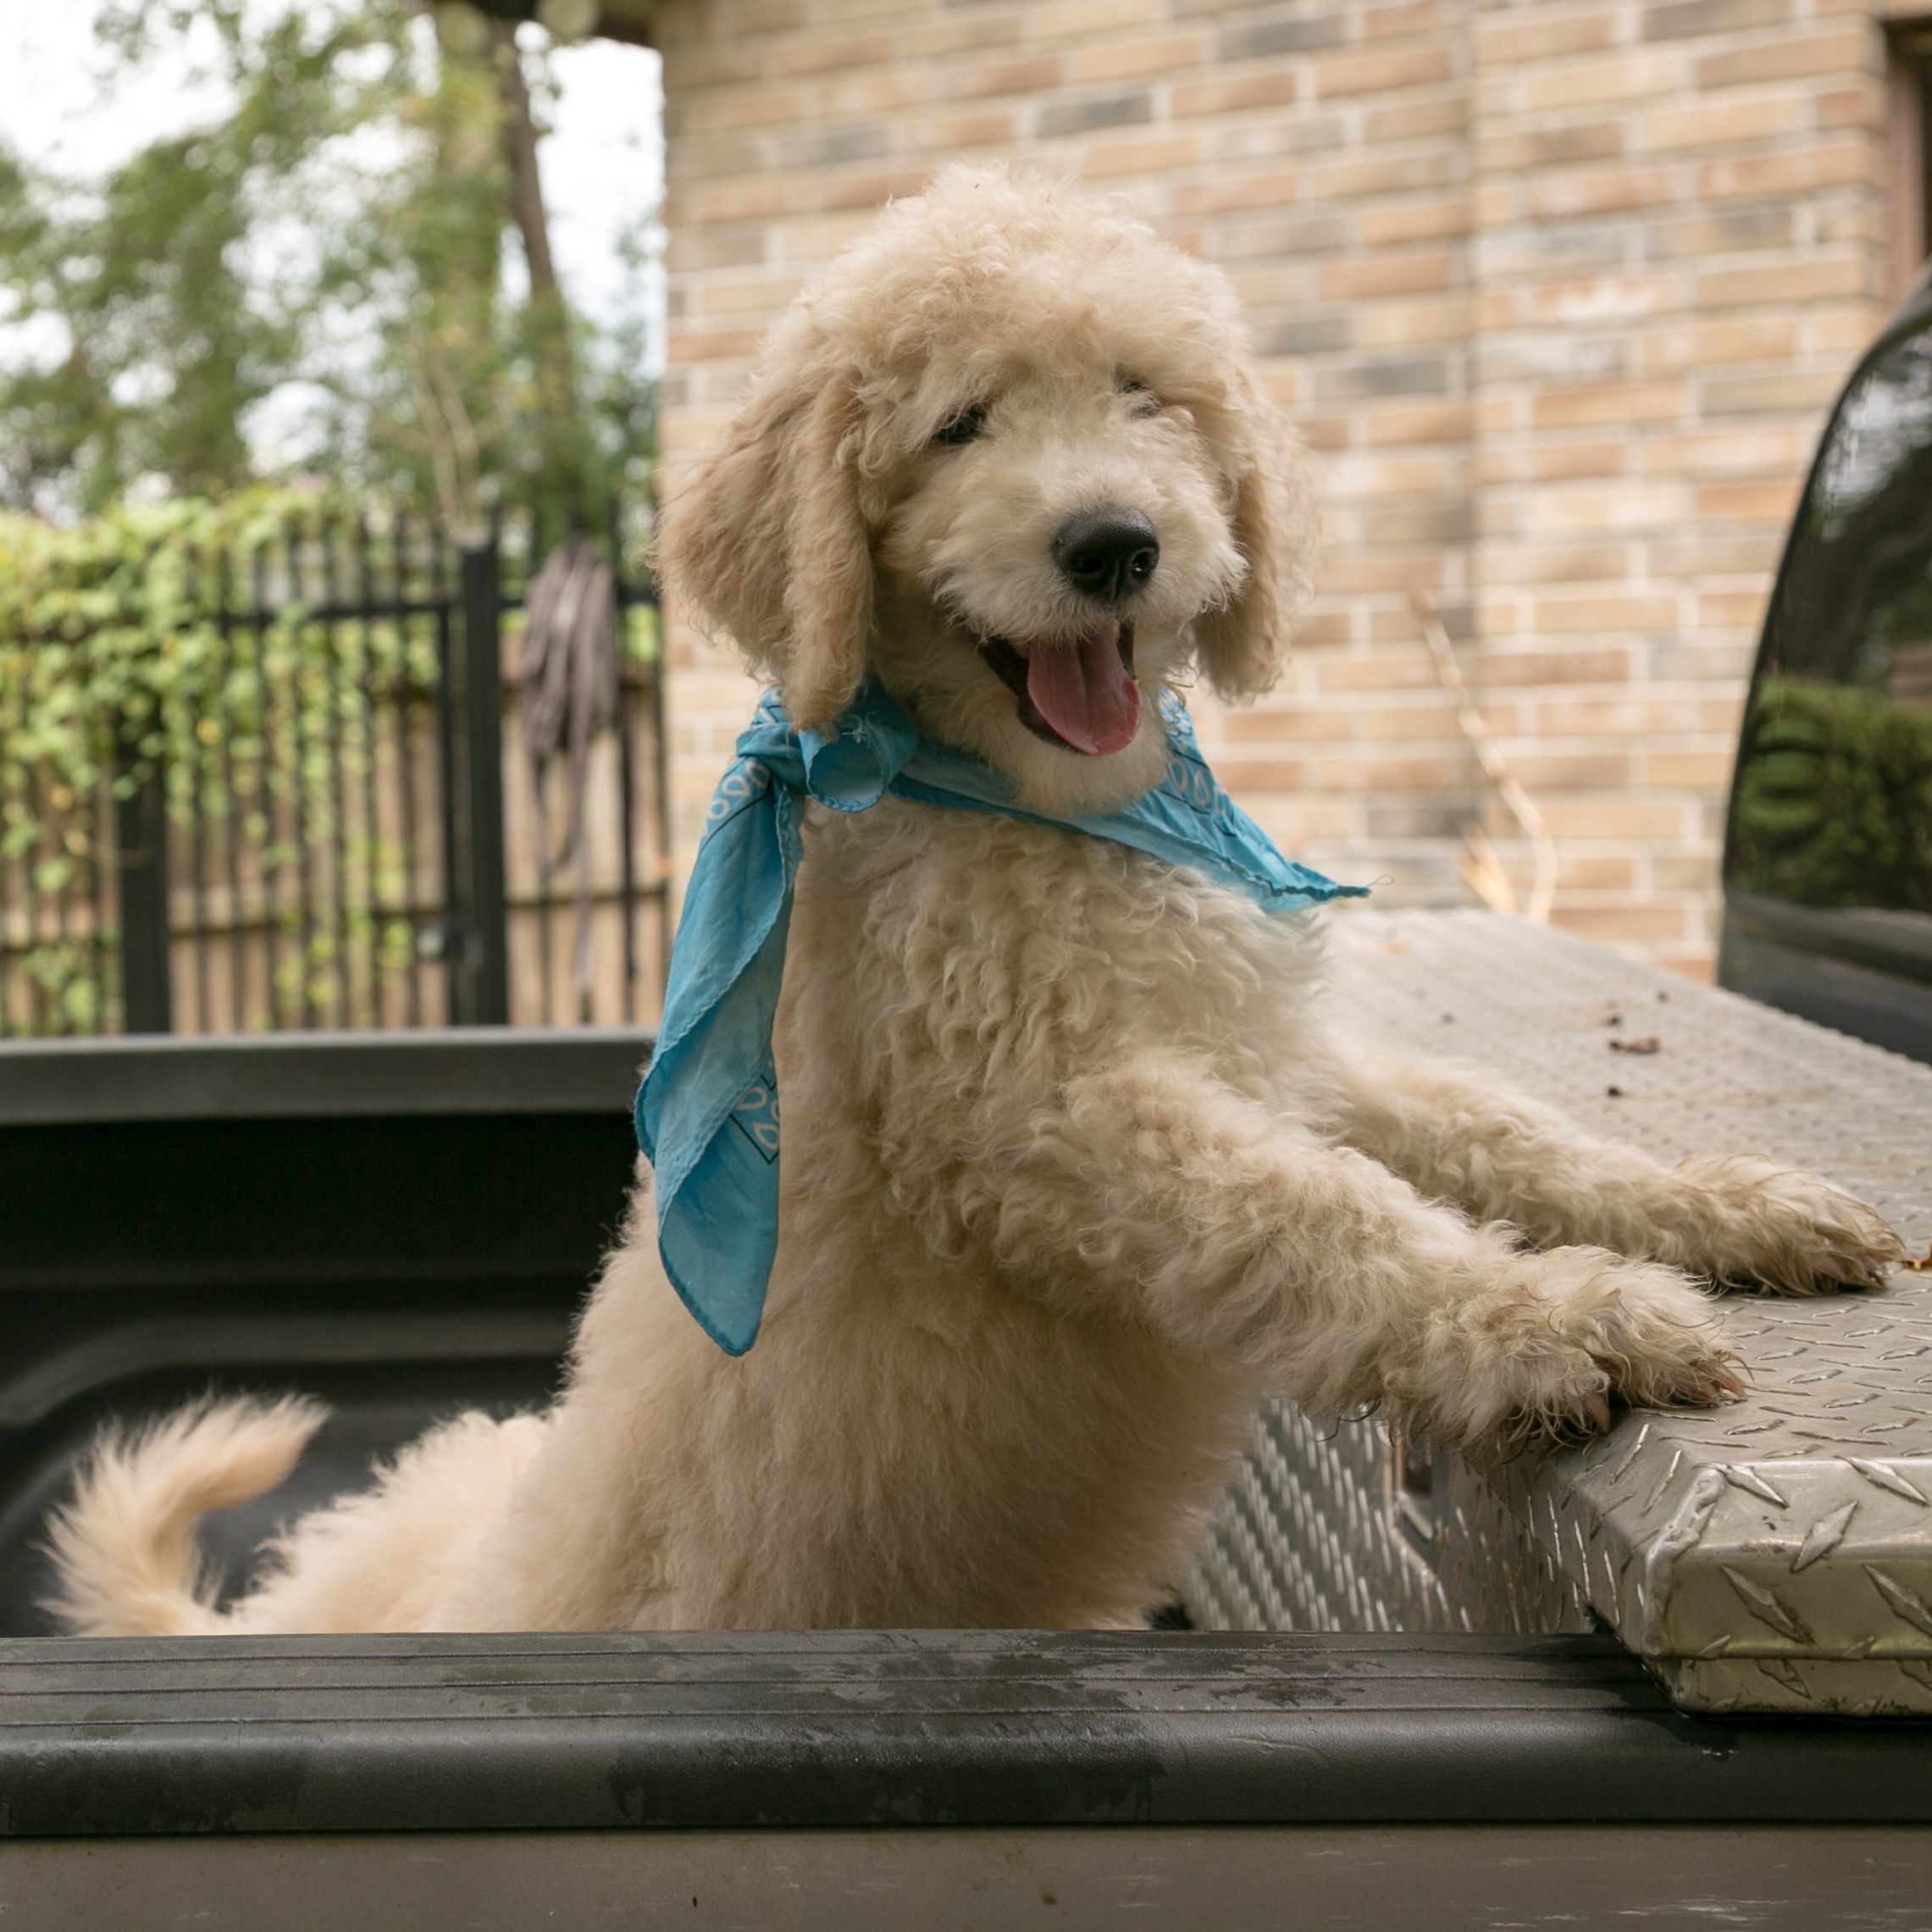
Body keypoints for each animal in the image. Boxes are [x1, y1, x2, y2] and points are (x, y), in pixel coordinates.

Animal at [48, 169, 1901, 1646]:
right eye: (958, 425)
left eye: (1147, 396)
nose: (1112, 544)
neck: (1026, 805)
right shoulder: (1045, 1118)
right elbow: (1327, 1220)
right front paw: (1558, 1318)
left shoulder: (1265, 1055)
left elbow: (1495, 1126)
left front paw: (1728, 1209)